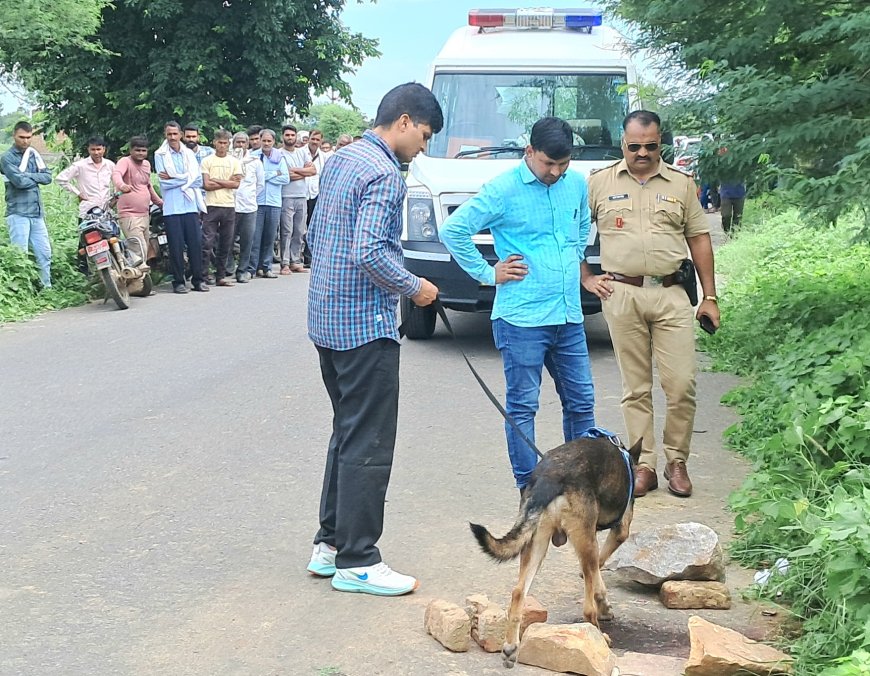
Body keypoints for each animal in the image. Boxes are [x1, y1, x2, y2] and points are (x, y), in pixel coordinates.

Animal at [470, 436, 640, 668]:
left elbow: (596, 577)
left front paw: (604, 603)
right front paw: (602, 603)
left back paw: (511, 647)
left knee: (518, 592)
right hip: (586, 541)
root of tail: (549, 477)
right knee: (588, 608)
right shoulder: (619, 531)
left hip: (536, 542)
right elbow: (599, 566)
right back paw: (600, 637)